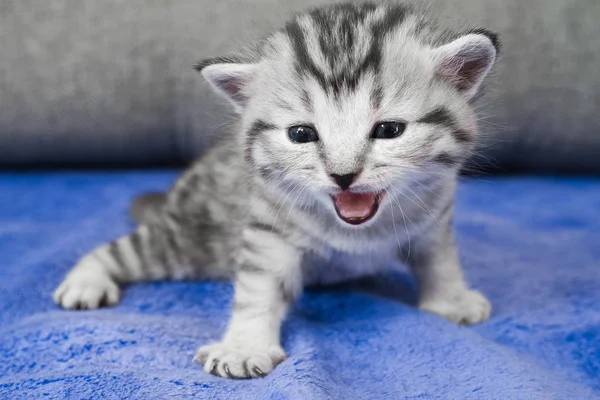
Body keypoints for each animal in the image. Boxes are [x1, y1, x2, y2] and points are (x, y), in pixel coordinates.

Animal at [54, 2, 500, 378]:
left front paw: (452, 299)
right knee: (120, 250)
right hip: (190, 240)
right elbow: (258, 289)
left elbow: (441, 260)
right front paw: (243, 347)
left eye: (389, 130)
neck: (360, 232)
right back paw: (86, 281)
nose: (343, 175)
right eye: (301, 134)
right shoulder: (267, 230)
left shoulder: (435, 217)